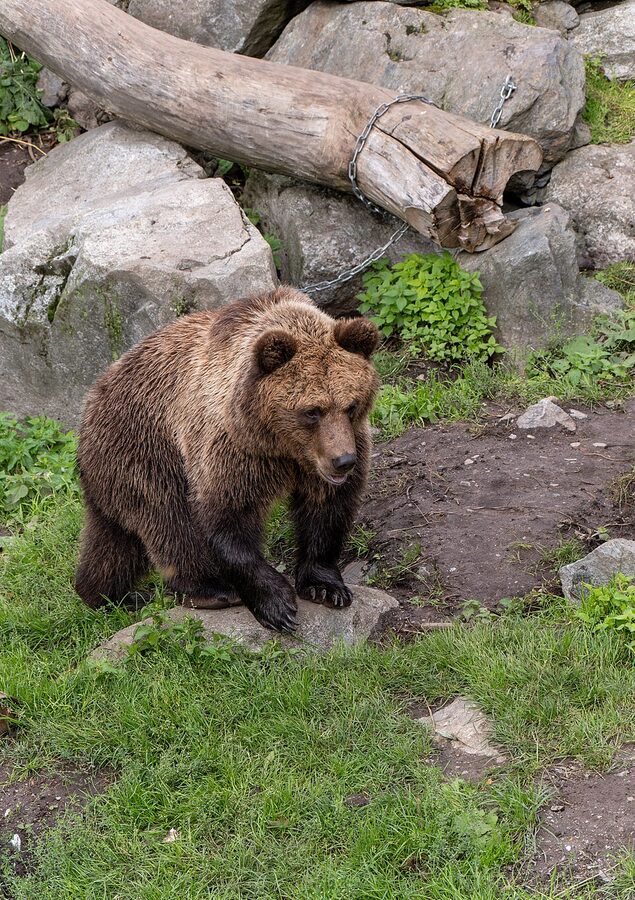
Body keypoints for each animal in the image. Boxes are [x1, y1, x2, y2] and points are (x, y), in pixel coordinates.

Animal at [75, 286, 380, 632]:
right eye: (312, 411)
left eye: (351, 405)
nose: (343, 461)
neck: (281, 445)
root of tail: (92, 395)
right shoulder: (232, 447)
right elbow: (227, 515)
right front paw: (277, 604)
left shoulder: (333, 450)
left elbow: (327, 509)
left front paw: (326, 587)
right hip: (144, 446)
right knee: (169, 518)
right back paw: (210, 589)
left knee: (114, 540)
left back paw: (105, 594)